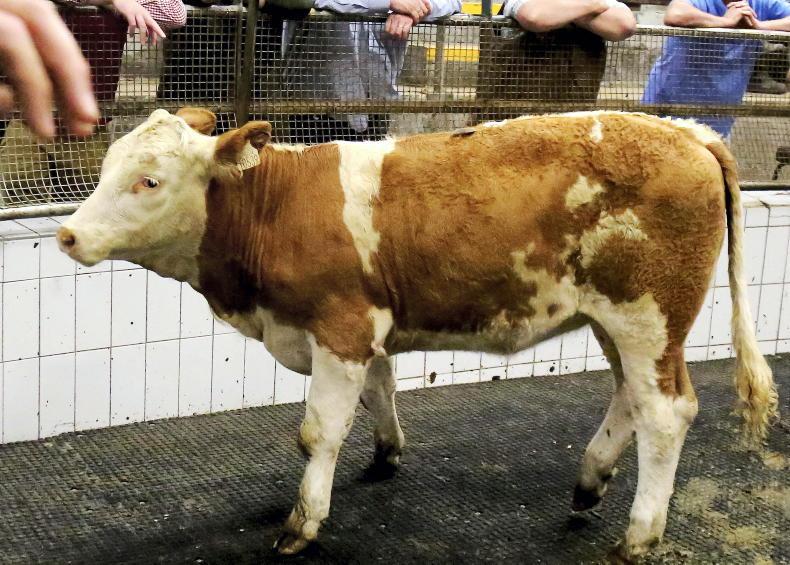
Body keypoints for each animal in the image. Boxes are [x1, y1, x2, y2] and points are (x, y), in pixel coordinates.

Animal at [57, 107, 778, 560]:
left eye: (148, 180)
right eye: (108, 165)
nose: (66, 234)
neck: (276, 208)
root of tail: (684, 130)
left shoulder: (340, 327)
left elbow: (317, 432)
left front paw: (303, 522)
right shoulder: (366, 328)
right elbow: (381, 392)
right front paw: (385, 455)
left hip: (648, 312)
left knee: (665, 411)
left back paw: (638, 534)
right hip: (620, 321)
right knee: (630, 394)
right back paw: (590, 480)